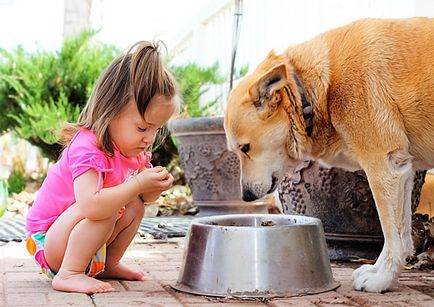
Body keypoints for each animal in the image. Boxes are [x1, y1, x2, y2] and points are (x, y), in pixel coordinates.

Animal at [224, 18, 434, 294]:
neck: (313, 90)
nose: (246, 197)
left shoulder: (383, 169)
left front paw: (382, 279)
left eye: (245, 148)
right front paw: (378, 271)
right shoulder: (402, 171)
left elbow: (392, 234)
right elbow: (401, 235)